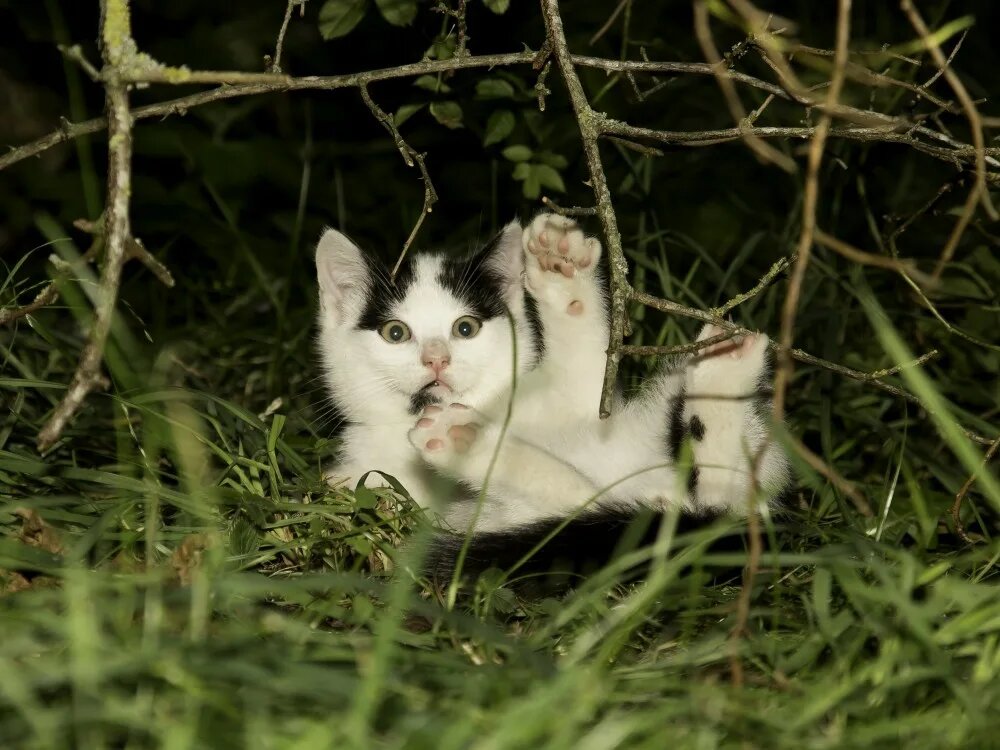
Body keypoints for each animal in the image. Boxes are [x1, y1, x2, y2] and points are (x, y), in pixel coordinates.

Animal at [314, 213, 788, 580]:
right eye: (395, 333)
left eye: (465, 328)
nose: (436, 359)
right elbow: (576, 495)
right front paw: (467, 440)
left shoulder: (578, 406)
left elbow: (585, 374)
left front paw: (562, 269)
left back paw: (723, 366)